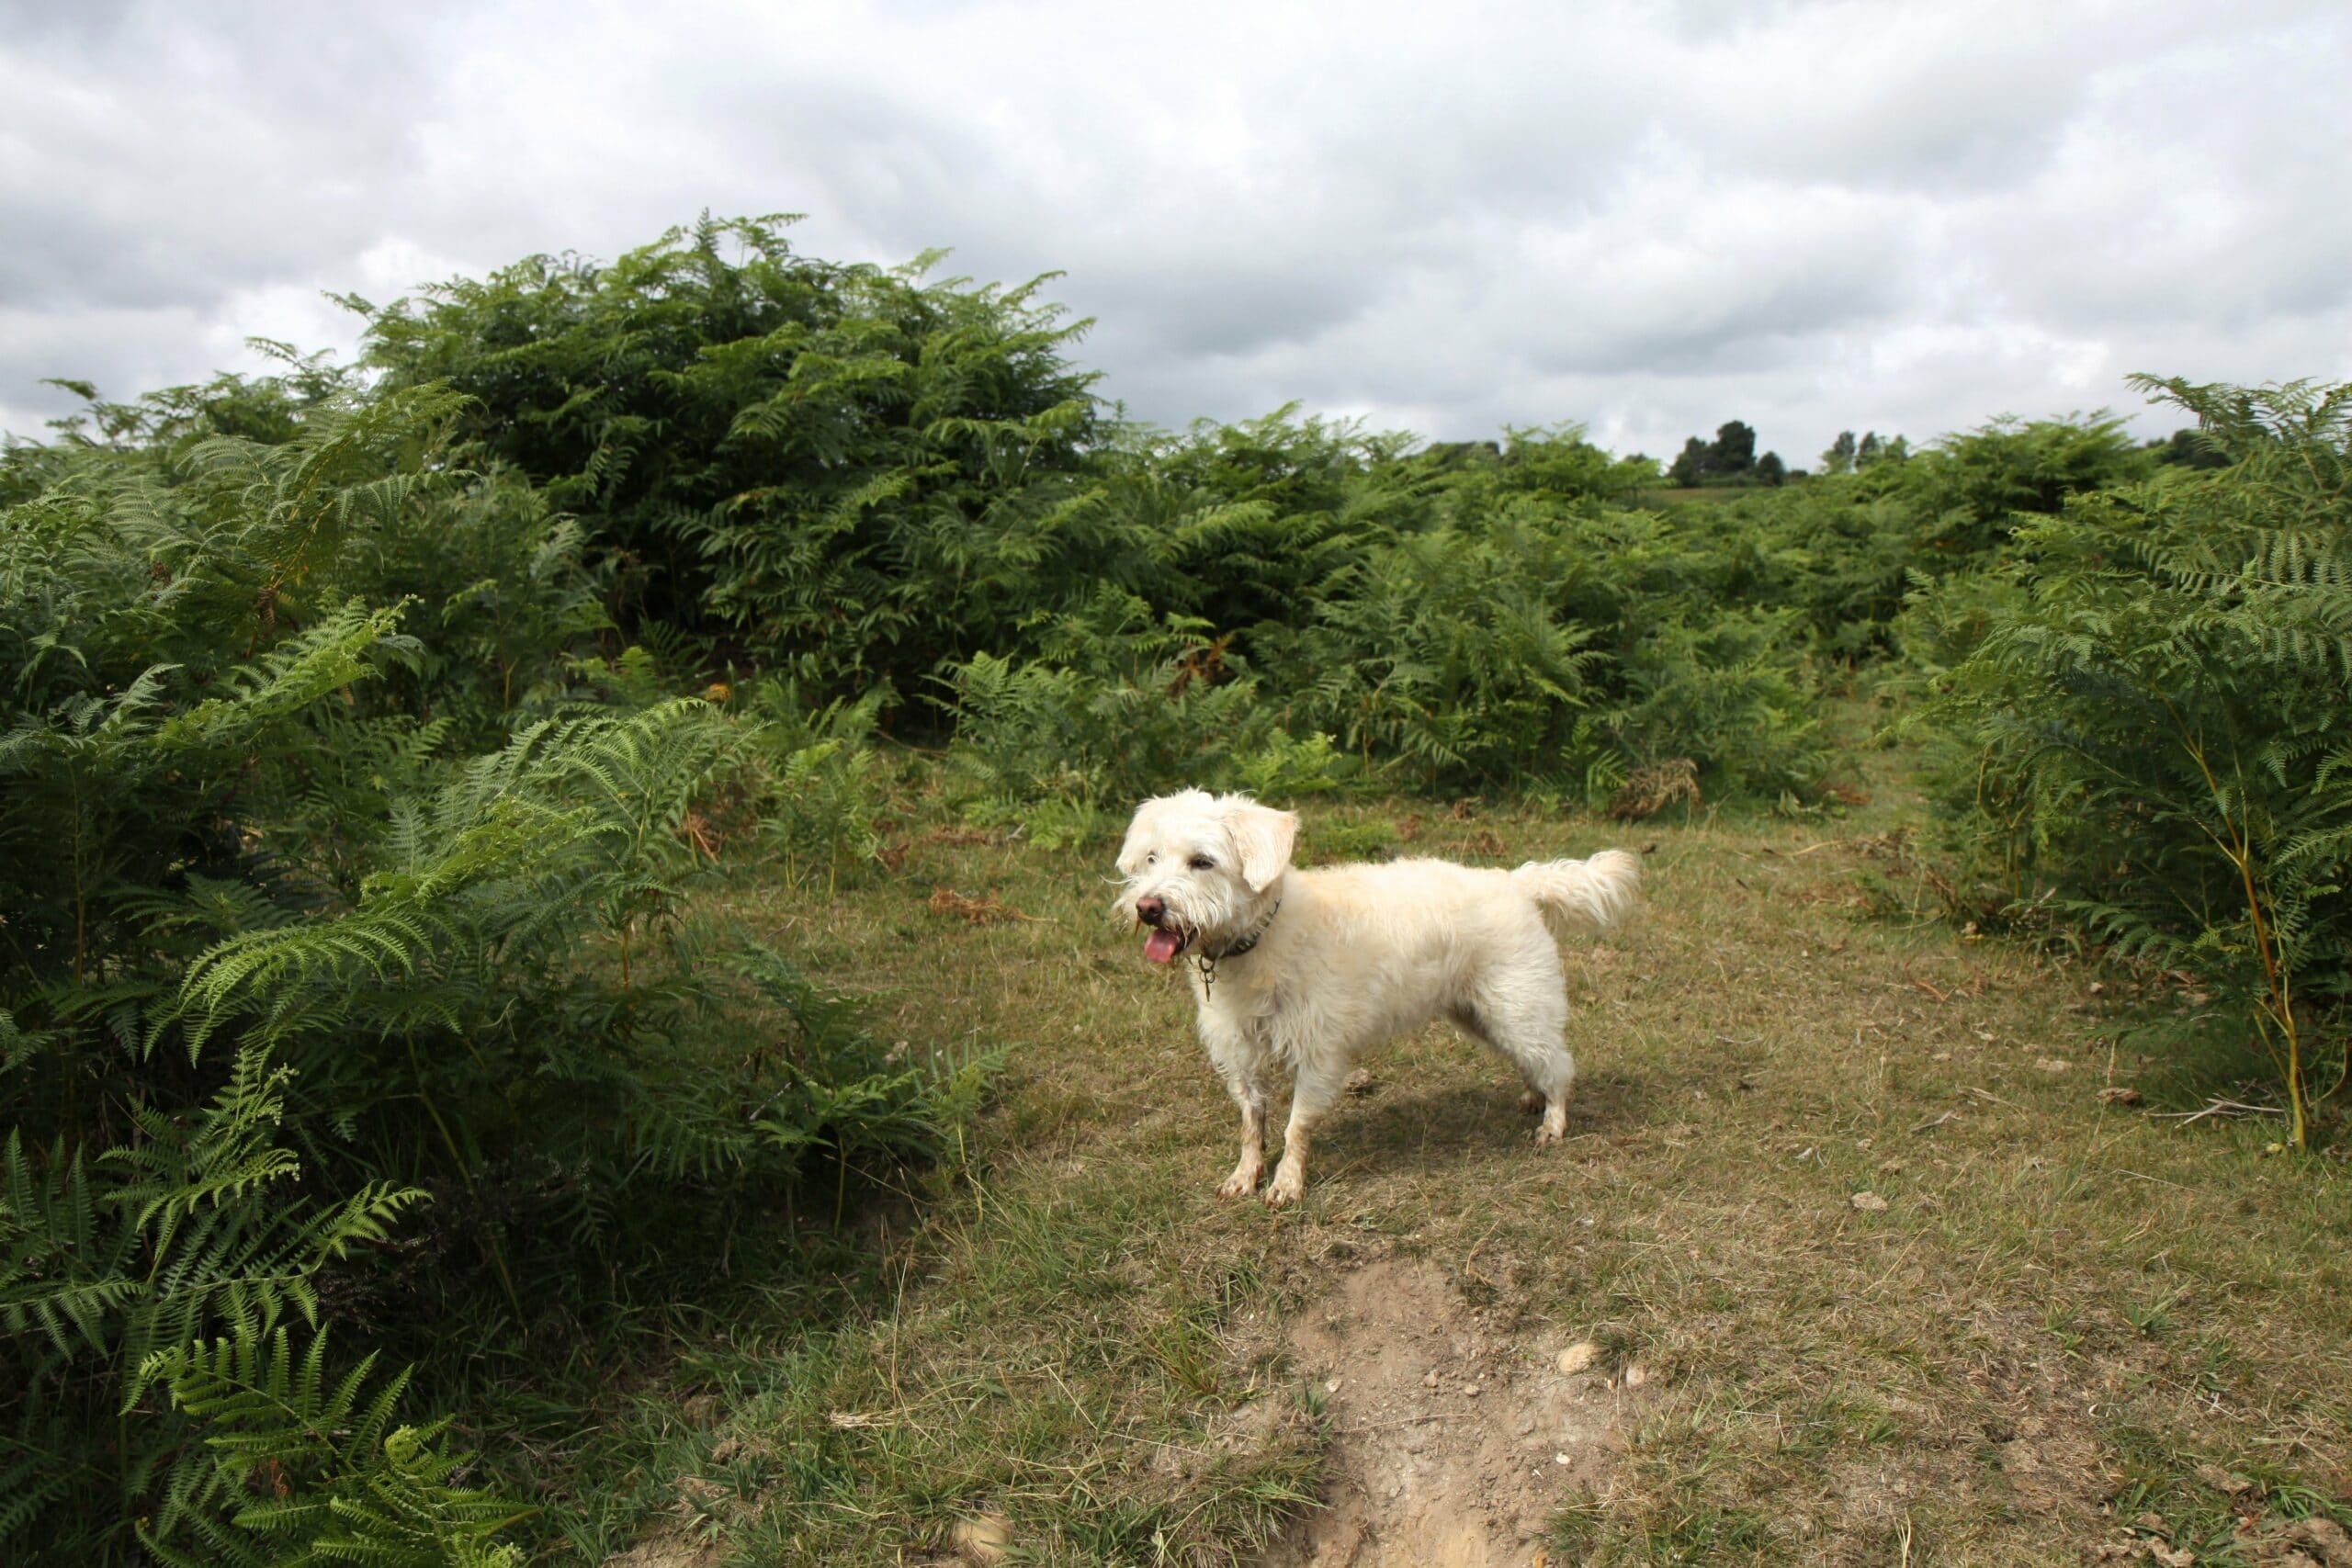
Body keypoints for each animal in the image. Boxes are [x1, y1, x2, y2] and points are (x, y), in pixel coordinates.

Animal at [1114, 789, 1636, 1213]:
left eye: (1203, 861)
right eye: (1152, 858)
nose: (1148, 907)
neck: (1260, 939)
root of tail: (1516, 882)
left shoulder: (1319, 1056)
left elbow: (1295, 1127)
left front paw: (1287, 1184)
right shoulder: (1241, 1054)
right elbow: (1252, 1123)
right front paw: (1246, 1176)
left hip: (1517, 1008)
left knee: (1559, 1065)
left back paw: (1554, 1121)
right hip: (1484, 1016)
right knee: (1535, 1061)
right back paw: (1533, 1096)